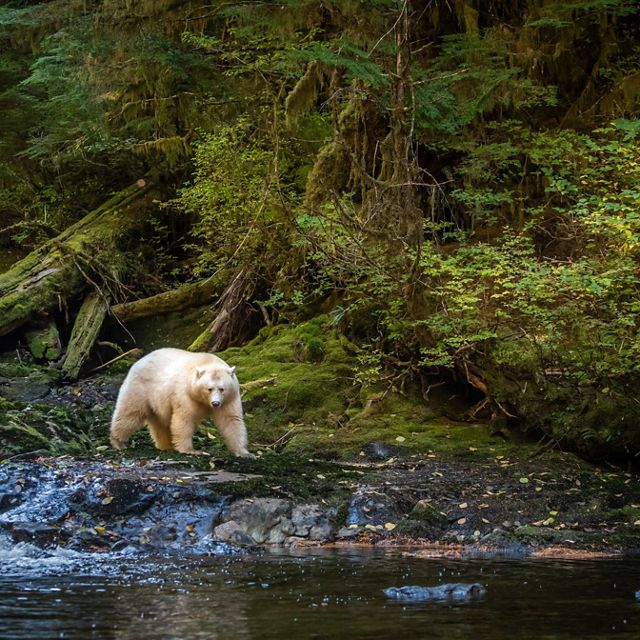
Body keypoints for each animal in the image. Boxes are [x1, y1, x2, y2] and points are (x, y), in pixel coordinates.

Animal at [109, 348, 253, 457]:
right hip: (140, 388)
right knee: (130, 414)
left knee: (160, 423)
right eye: (209, 389)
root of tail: (139, 360)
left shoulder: (229, 399)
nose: (216, 403)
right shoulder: (185, 394)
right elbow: (184, 419)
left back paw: (166, 446)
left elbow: (231, 420)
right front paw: (191, 450)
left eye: (222, 389)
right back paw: (118, 442)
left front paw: (245, 453)